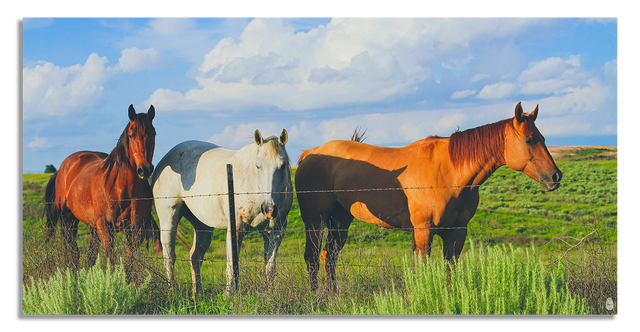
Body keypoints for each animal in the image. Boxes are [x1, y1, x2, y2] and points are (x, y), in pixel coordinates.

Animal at [44, 105, 161, 272]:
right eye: (131, 135)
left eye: (153, 133)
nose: (145, 169)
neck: (123, 190)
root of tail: (62, 168)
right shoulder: (106, 228)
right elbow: (112, 262)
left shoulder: (137, 229)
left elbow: (128, 265)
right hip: (68, 220)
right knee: (73, 253)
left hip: (92, 227)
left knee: (90, 255)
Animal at [151, 129, 294, 296]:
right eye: (258, 166)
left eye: (283, 165)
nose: (269, 208)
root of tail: (164, 161)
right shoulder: (235, 229)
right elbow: (231, 267)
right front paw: (228, 296)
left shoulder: (275, 232)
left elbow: (270, 268)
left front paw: (269, 294)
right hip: (169, 219)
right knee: (169, 257)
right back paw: (172, 292)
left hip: (203, 227)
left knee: (195, 257)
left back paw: (197, 294)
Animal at [296, 102, 560, 290]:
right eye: (529, 139)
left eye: (543, 138)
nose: (555, 176)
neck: (450, 172)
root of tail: (311, 153)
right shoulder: (424, 230)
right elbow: (422, 270)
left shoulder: (456, 233)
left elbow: (450, 271)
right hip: (315, 220)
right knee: (312, 257)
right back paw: (316, 298)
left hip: (340, 219)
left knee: (329, 256)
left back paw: (332, 295)